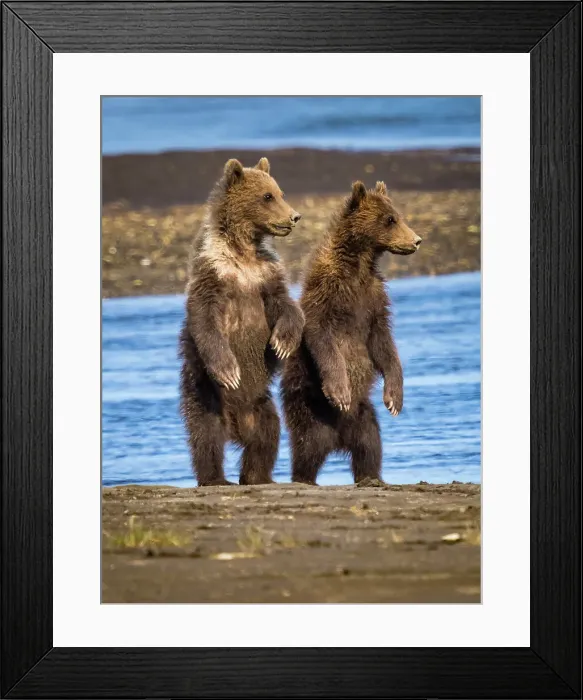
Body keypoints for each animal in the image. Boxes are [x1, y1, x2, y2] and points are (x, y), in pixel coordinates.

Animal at [179, 157, 305, 486]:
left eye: (279, 192)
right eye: (267, 196)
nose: (294, 216)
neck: (242, 249)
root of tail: (236, 426)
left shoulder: (265, 272)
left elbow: (286, 304)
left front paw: (282, 343)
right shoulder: (213, 271)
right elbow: (204, 318)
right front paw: (229, 370)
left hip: (262, 404)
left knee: (267, 435)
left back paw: (257, 476)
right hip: (205, 394)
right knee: (206, 436)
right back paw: (214, 478)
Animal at [281, 180, 422, 485]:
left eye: (398, 215)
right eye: (390, 220)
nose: (417, 240)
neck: (358, 265)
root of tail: (338, 439)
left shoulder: (373, 300)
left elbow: (383, 343)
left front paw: (394, 399)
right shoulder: (326, 295)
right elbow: (322, 338)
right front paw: (340, 392)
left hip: (363, 416)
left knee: (369, 446)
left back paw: (372, 477)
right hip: (309, 410)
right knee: (307, 449)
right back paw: (305, 477)